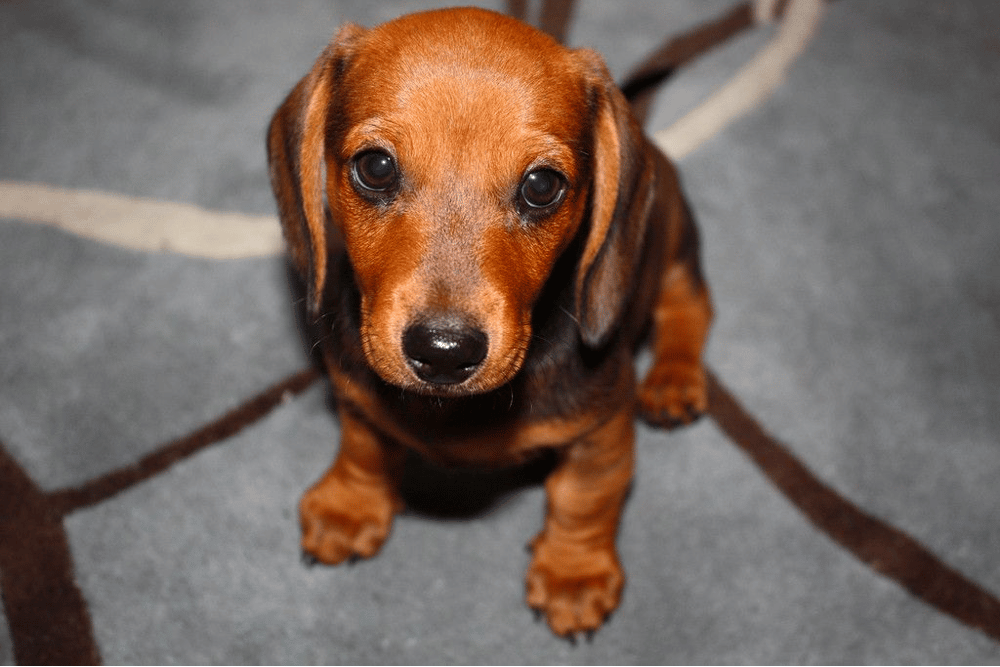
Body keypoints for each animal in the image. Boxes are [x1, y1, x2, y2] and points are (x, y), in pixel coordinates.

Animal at [268, 6, 712, 640]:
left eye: (542, 185)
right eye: (375, 168)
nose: (444, 351)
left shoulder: (602, 430)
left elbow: (583, 499)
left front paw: (573, 574)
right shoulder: (359, 399)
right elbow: (363, 449)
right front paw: (349, 507)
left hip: (674, 245)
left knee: (689, 308)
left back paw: (674, 380)